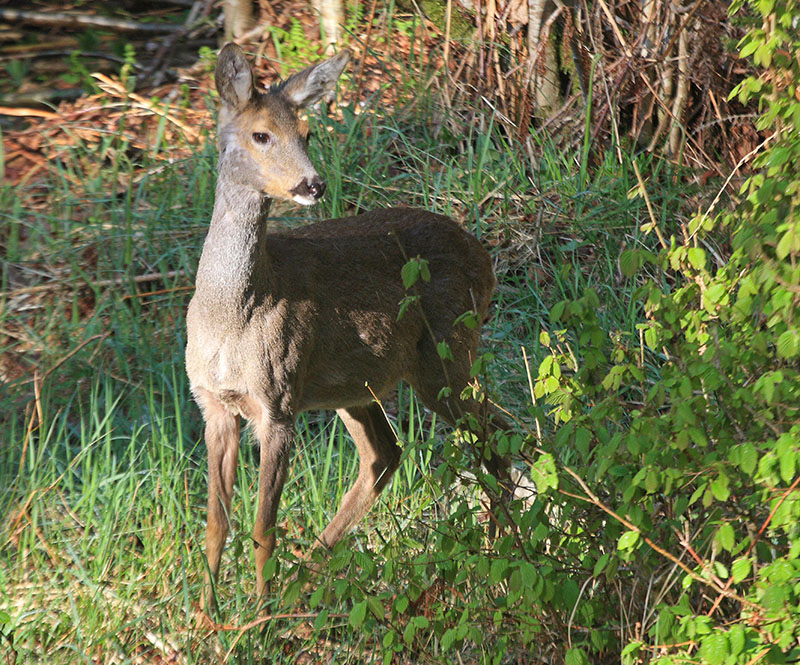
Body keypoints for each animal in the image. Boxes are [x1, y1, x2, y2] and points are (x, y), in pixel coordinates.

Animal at [187, 42, 510, 612]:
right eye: (261, 134)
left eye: (308, 132)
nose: (313, 184)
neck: (233, 313)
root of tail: (484, 256)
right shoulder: (213, 404)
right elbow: (214, 525)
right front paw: (206, 618)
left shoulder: (277, 403)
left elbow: (263, 528)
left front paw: (258, 616)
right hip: (353, 383)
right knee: (386, 454)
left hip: (444, 356)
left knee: (495, 438)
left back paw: (504, 562)